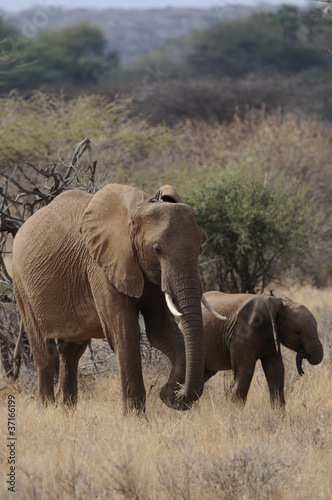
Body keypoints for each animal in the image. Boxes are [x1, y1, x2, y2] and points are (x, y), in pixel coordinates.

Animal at [13, 184, 222, 414]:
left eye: (199, 248)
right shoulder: (100, 264)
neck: (139, 208)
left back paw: (68, 412)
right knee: (45, 352)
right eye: (157, 249)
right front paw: (135, 417)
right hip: (22, 286)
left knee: (71, 352)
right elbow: (125, 332)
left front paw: (168, 394)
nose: (177, 395)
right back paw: (47, 410)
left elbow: (161, 330)